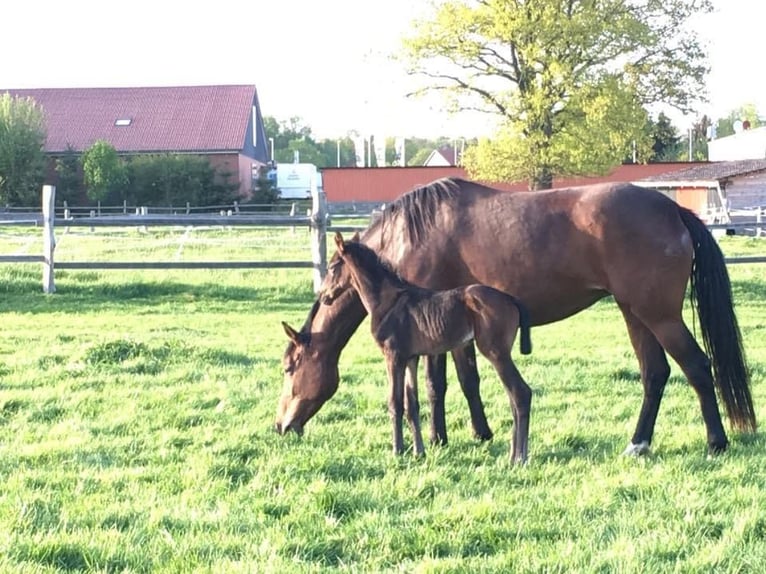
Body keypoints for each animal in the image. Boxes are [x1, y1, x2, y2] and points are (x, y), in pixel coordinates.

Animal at [320, 232, 532, 462]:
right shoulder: (410, 358)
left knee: (520, 393)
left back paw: (518, 458)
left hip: (496, 353)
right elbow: (411, 404)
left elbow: (395, 402)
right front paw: (418, 451)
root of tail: (511, 299)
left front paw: (397, 451)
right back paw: (515, 454)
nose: (323, 296)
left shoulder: (393, 356)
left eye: (332, 267)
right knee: (513, 398)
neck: (387, 302)